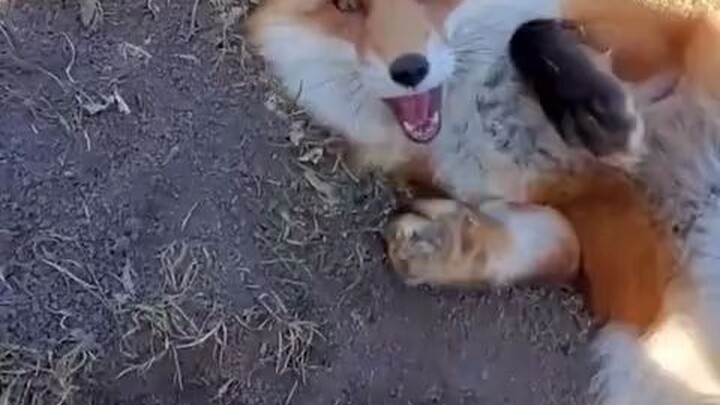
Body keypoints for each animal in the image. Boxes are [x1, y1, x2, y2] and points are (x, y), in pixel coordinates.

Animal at [249, 1, 720, 405]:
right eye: (346, 7)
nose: (410, 69)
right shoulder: (622, 273)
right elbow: (560, 243)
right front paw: (449, 246)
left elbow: (526, 34)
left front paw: (592, 107)